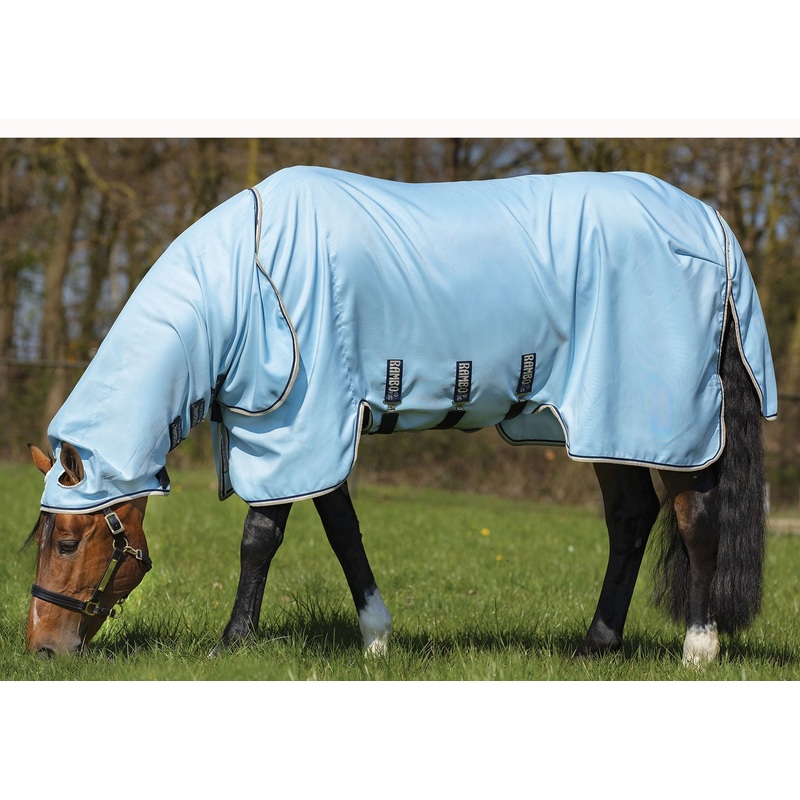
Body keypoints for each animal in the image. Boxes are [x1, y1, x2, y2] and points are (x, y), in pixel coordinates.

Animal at [24, 167, 777, 665]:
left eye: (68, 543)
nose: (41, 647)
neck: (249, 278)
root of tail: (710, 224)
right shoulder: (318, 433)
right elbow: (343, 532)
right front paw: (377, 637)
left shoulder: (300, 424)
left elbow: (261, 538)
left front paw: (233, 642)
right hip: (602, 426)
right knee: (631, 519)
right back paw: (597, 644)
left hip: (663, 421)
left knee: (695, 519)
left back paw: (699, 648)